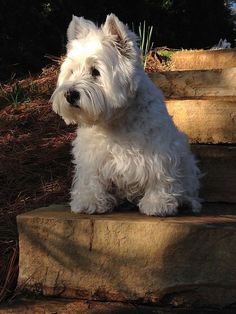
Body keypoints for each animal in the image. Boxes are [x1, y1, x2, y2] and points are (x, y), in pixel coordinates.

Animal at [51, 14, 201, 216]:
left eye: (95, 71)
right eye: (72, 71)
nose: (69, 95)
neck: (115, 120)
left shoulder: (160, 150)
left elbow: (160, 174)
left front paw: (158, 203)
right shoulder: (91, 156)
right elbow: (92, 178)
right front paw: (90, 201)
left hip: (187, 164)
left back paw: (187, 202)